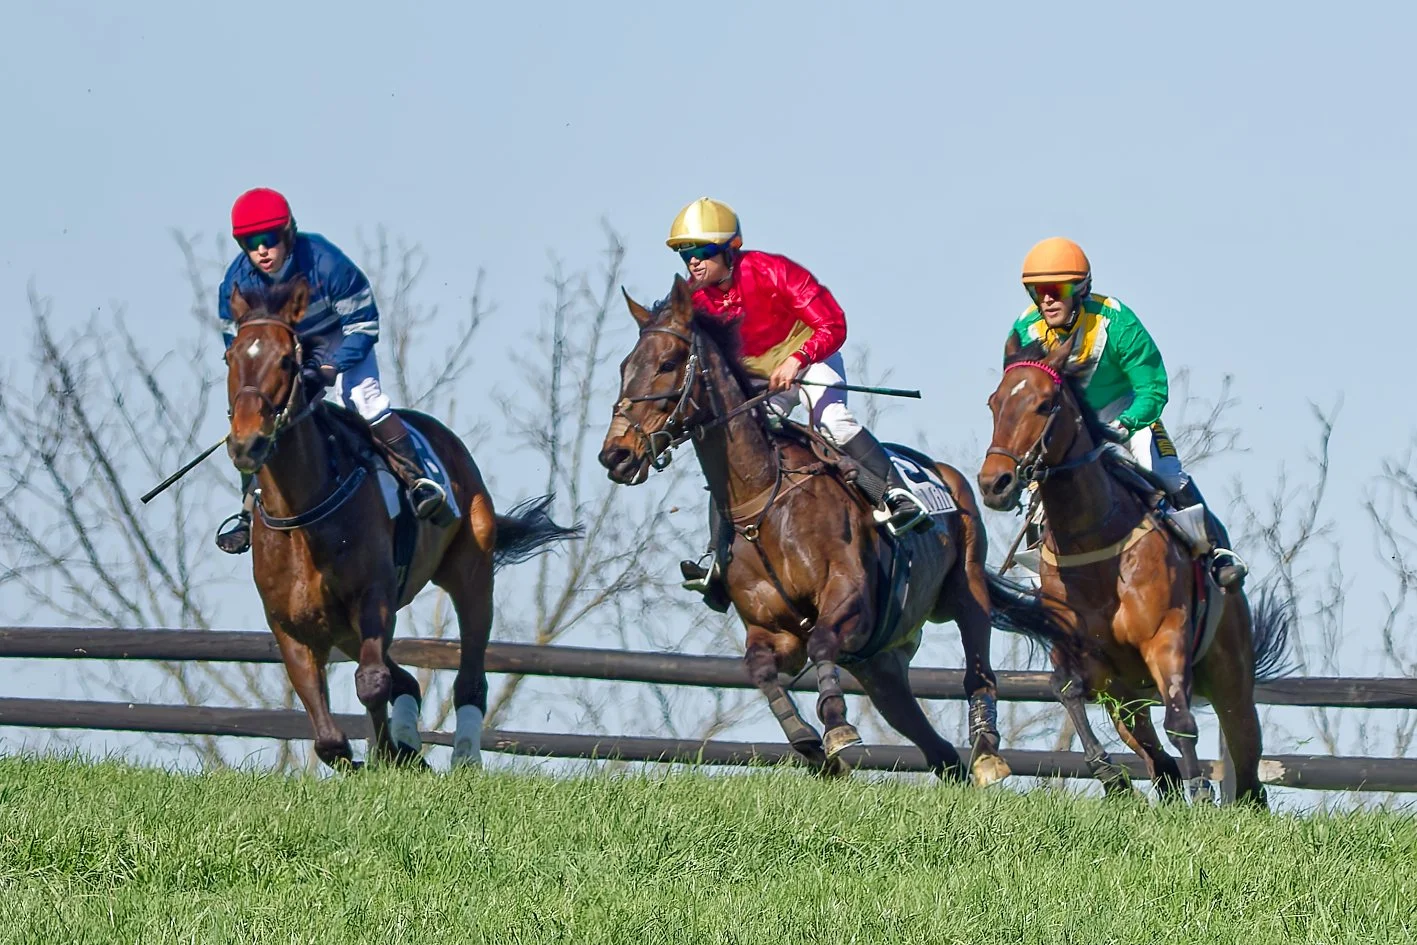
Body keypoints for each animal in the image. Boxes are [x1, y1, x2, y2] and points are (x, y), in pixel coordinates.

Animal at [224, 278, 580, 770]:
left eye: (284, 360)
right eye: (230, 357)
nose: (247, 443)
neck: (302, 515)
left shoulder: (373, 601)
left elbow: (372, 682)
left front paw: (391, 752)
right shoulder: (291, 626)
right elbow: (330, 739)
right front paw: (389, 751)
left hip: (470, 574)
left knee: (469, 676)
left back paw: (463, 757)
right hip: (343, 628)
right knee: (407, 680)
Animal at [597, 275, 1069, 782]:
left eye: (668, 363)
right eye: (625, 366)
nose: (615, 455)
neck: (763, 501)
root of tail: (946, 473)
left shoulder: (849, 594)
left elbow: (823, 639)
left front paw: (837, 728)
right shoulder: (772, 630)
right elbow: (760, 668)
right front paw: (808, 741)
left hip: (966, 590)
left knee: (977, 670)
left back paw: (986, 752)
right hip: (879, 664)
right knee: (935, 748)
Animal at [976, 333, 1292, 805]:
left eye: (1045, 404)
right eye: (995, 403)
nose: (994, 483)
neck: (1094, 539)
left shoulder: (1166, 637)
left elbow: (1180, 723)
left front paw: (1200, 789)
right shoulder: (1085, 657)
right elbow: (1065, 689)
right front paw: (1111, 775)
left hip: (1232, 680)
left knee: (1246, 762)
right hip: (1127, 694)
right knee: (1147, 744)